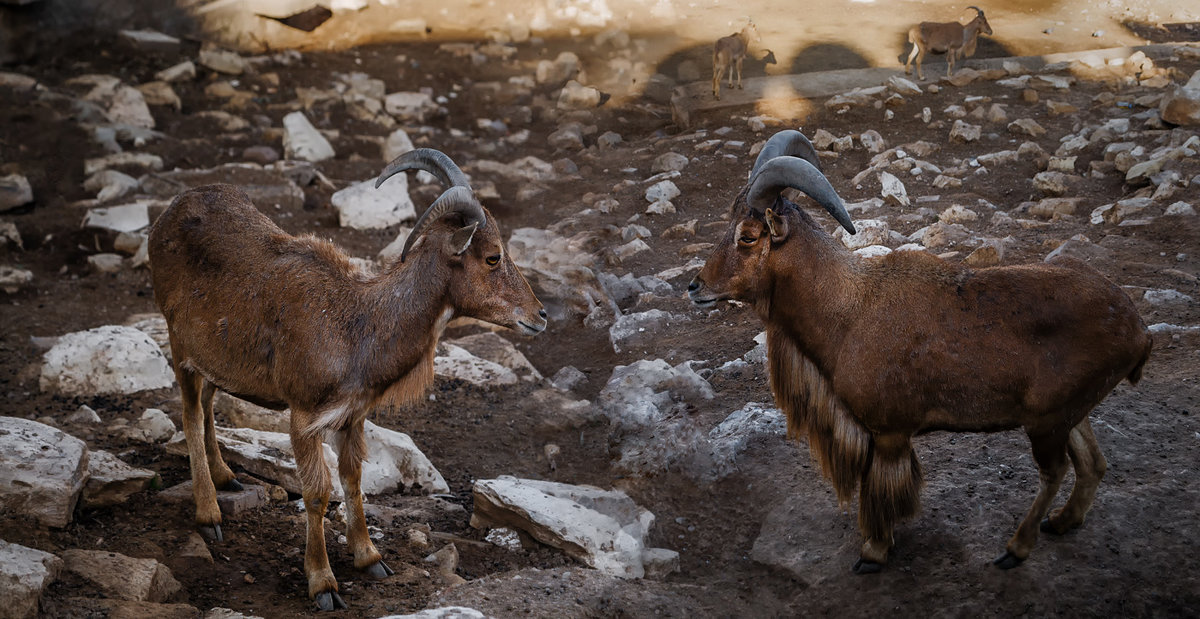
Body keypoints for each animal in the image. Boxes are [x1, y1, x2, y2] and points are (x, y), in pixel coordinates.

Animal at [696, 128, 1152, 573]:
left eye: (747, 236)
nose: (694, 287)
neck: (850, 308)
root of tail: (1137, 328)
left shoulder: (889, 432)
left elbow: (880, 491)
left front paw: (875, 550)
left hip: (1047, 421)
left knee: (1055, 471)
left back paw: (1017, 547)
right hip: (1070, 413)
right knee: (1092, 463)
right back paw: (1062, 521)